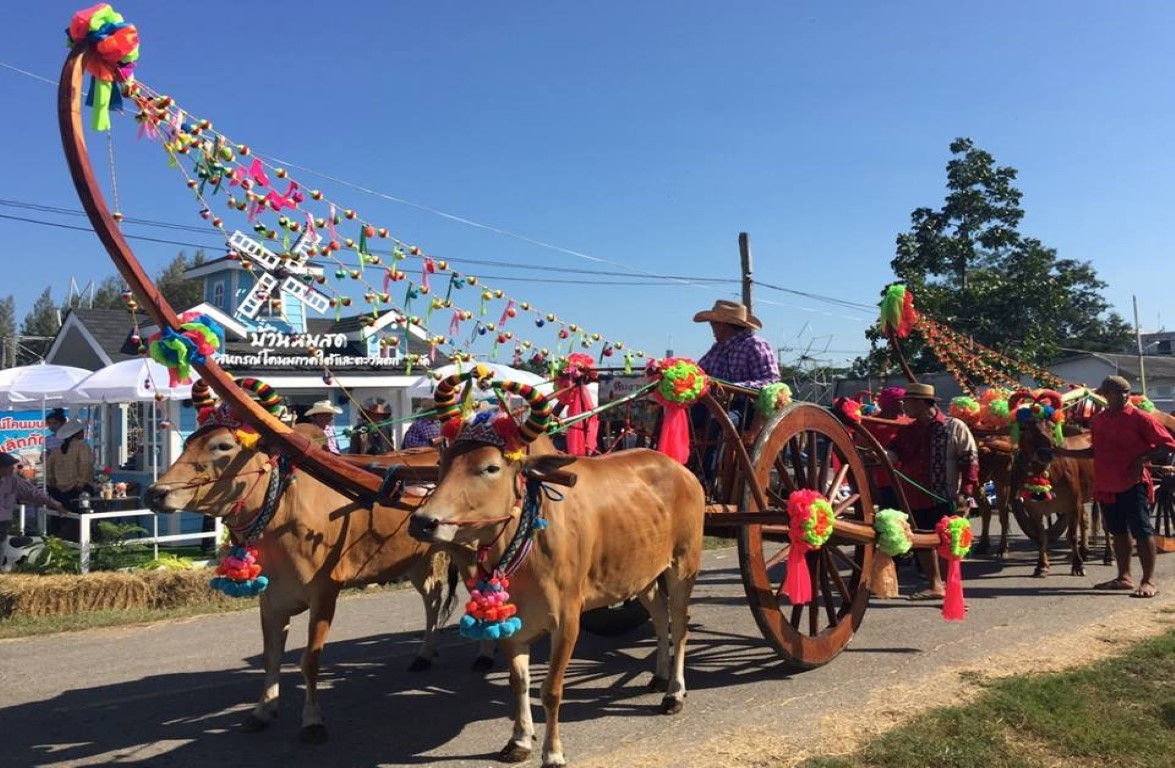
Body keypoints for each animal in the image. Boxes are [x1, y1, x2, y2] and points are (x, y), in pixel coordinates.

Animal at [145, 420, 488, 743]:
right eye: (187, 443)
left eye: (222, 446)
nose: (155, 493)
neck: (282, 513)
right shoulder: (271, 600)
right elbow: (271, 656)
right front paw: (263, 710)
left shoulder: (324, 594)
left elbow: (309, 660)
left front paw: (312, 721)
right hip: (415, 560)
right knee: (433, 598)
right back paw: (425, 654)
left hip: (470, 554)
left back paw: (484, 654)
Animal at [408, 374, 705, 768]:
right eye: (442, 462)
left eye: (490, 467)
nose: (424, 522)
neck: (525, 537)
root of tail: (682, 470)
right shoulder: (513, 624)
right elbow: (518, 683)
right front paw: (519, 739)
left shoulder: (567, 620)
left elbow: (550, 690)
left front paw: (553, 752)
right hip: (641, 574)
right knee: (660, 617)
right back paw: (658, 676)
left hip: (683, 566)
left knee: (681, 625)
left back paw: (674, 692)